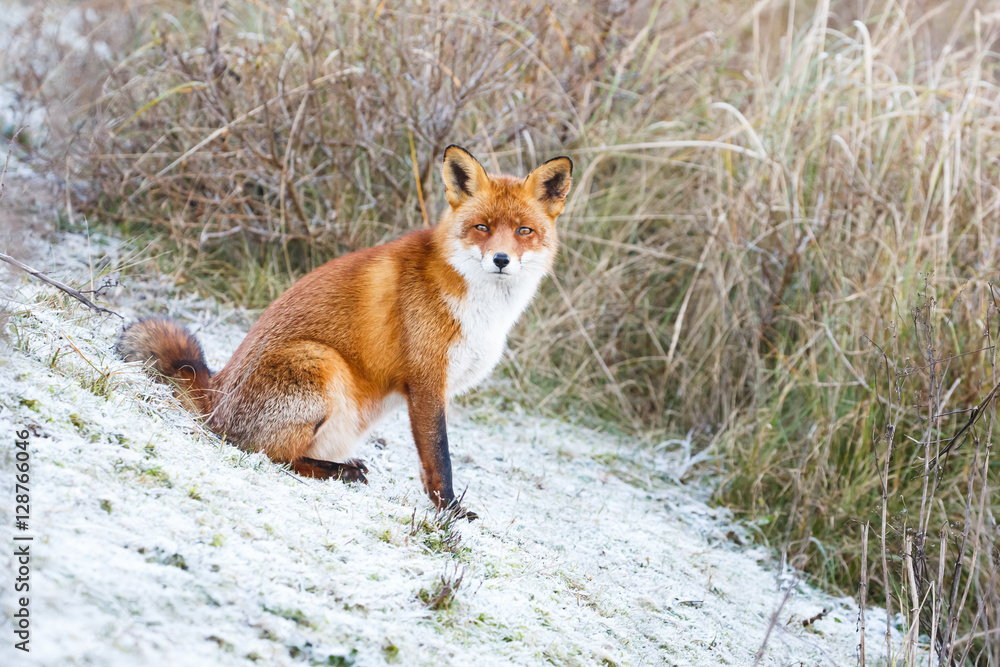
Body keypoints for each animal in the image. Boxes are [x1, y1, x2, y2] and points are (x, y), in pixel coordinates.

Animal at [117, 149, 572, 520]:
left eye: (524, 231)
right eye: (482, 227)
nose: (501, 259)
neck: (482, 308)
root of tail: (215, 392)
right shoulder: (426, 381)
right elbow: (439, 458)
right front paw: (450, 511)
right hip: (321, 363)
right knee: (265, 454)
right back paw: (338, 472)